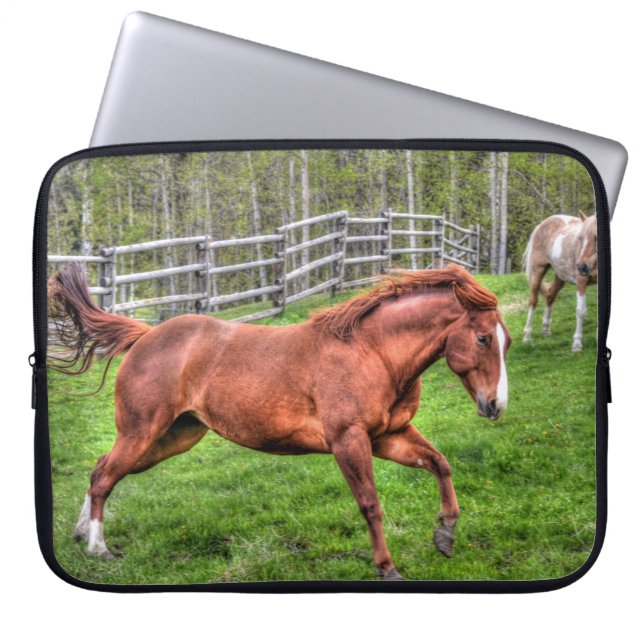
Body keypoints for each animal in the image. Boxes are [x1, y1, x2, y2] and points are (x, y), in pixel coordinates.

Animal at [48, 262, 511, 581]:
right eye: (483, 338)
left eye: (504, 341)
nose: (495, 405)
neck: (373, 353)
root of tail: (144, 335)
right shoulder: (349, 440)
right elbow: (371, 505)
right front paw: (388, 568)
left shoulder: (389, 436)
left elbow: (440, 464)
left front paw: (445, 535)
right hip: (143, 433)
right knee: (105, 477)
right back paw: (99, 549)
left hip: (171, 438)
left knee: (100, 470)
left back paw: (81, 534)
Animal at [522, 211, 597, 352]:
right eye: (580, 237)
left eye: (596, 237)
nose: (581, 267)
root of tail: (542, 223)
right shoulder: (581, 282)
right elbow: (581, 311)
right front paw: (577, 344)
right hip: (538, 271)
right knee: (533, 301)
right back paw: (527, 336)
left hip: (560, 276)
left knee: (550, 295)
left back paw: (546, 330)